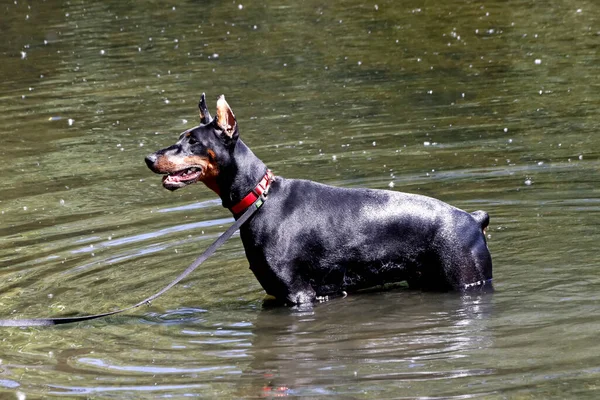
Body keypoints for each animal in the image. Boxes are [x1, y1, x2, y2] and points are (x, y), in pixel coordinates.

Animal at [146, 94, 492, 304]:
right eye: (180, 138)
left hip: (467, 279)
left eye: (193, 142)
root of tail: (473, 219)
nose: (149, 158)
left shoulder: (298, 294)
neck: (259, 199)